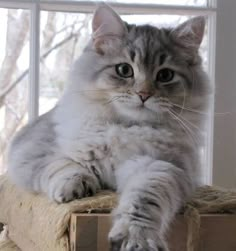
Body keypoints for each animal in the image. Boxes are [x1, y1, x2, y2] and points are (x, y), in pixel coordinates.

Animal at [7, 3, 210, 251]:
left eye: (165, 75)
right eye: (124, 70)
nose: (144, 94)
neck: (127, 127)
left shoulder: (160, 166)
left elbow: (143, 200)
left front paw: (136, 238)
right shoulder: (34, 150)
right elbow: (63, 165)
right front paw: (75, 187)